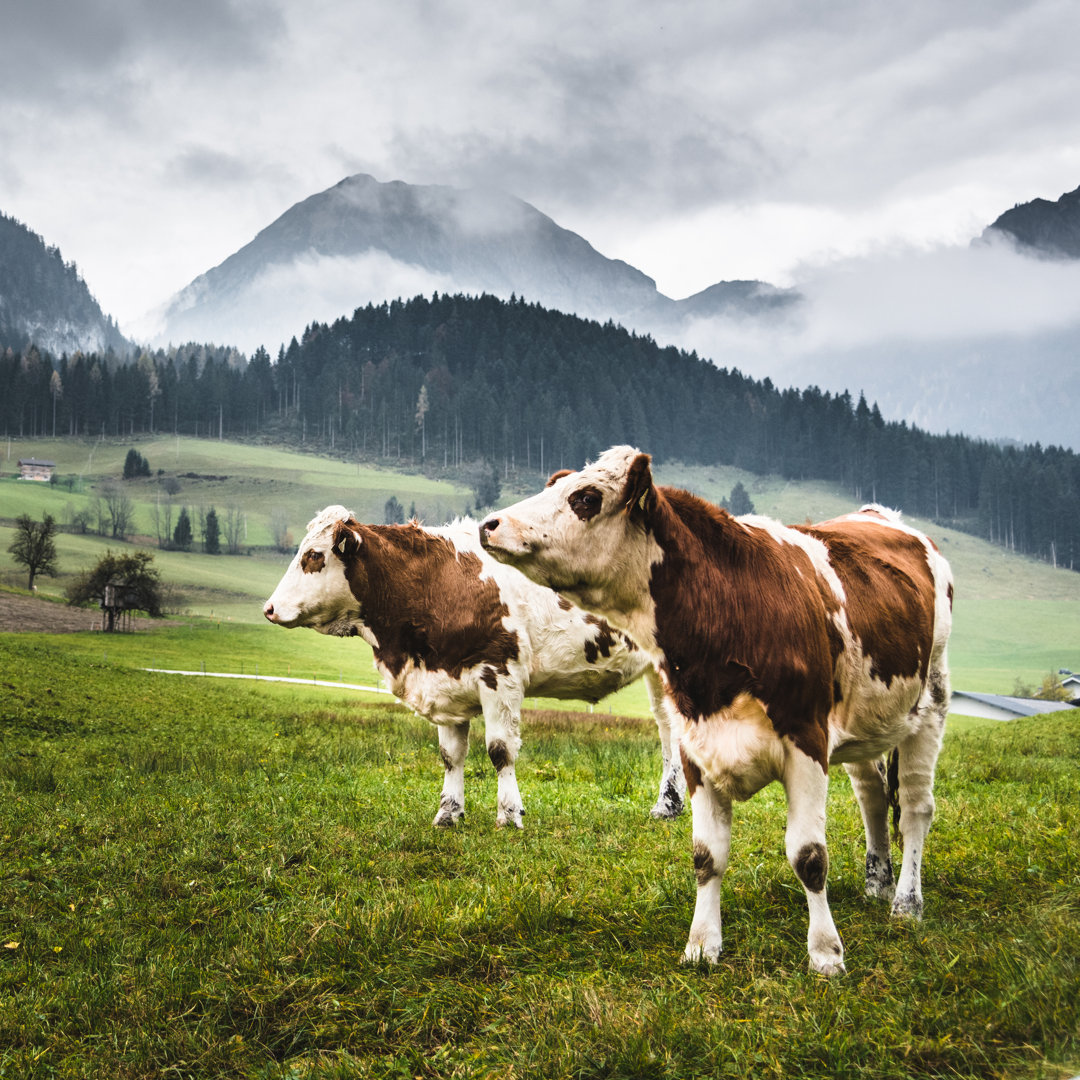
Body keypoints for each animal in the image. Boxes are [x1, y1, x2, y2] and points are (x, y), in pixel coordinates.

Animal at [262, 503, 682, 825]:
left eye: (314, 556)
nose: (268, 608)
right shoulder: (444, 681)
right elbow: (451, 756)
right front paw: (448, 813)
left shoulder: (500, 674)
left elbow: (500, 750)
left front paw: (509, 814)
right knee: (669, 731)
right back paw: (669, 805)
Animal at [481, 442, 954, 976]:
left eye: (585, 497)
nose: (491, 524)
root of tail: (883, 516)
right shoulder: (696, 747)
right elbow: (707, 856)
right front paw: (702, 943)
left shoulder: (807, 741)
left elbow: (809, 856)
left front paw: (825, 952)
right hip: (867, 723)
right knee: (872, 796)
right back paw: (877, 883)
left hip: (930, 705)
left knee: (914, 808)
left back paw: (906, 902)